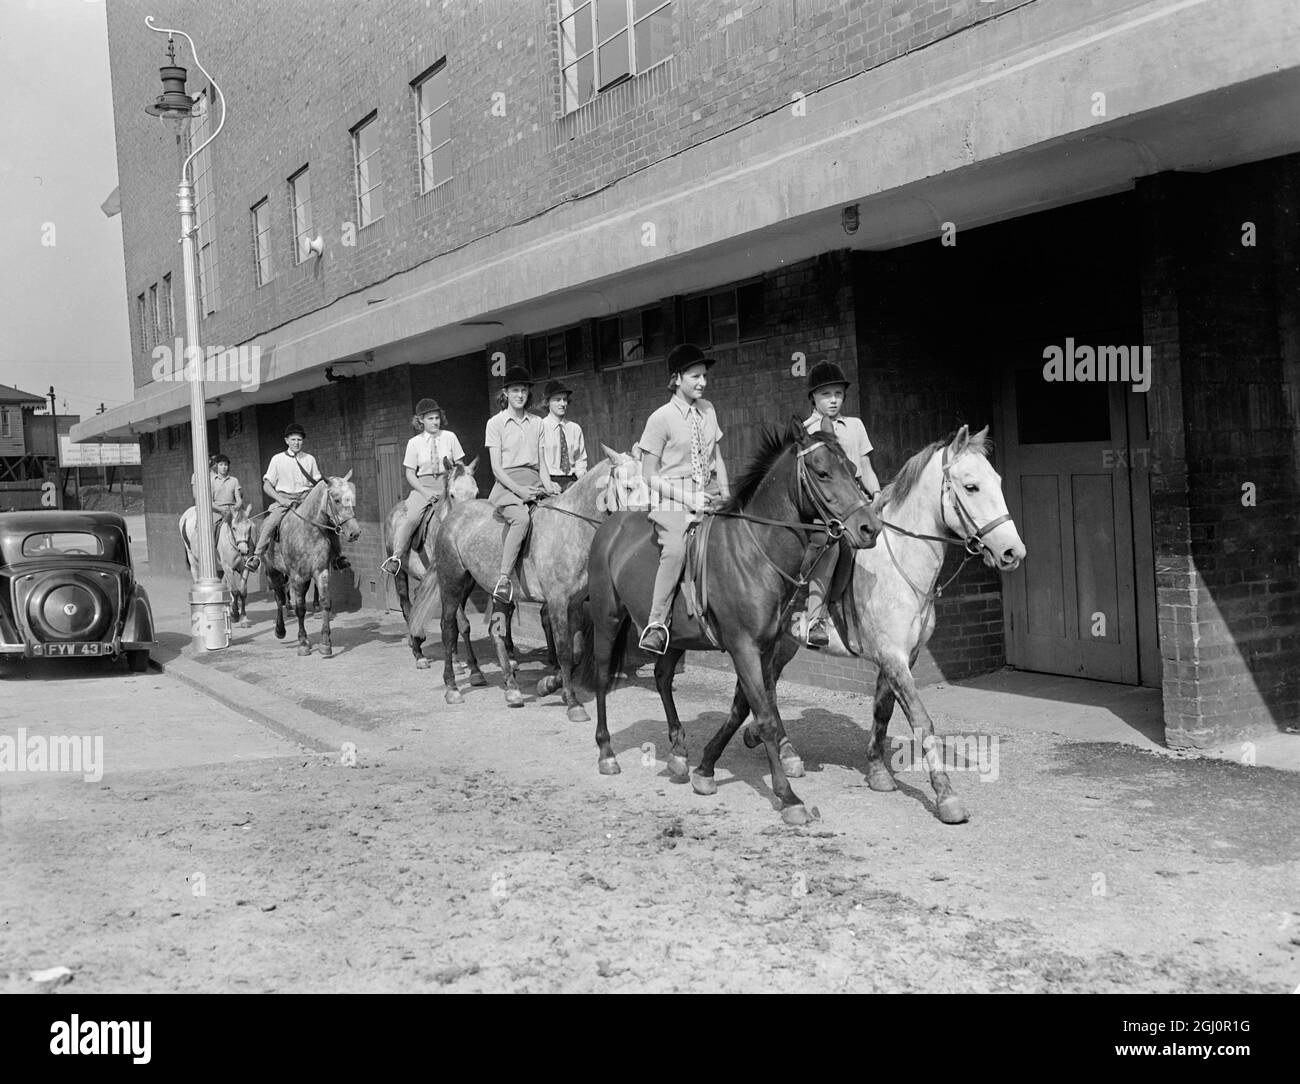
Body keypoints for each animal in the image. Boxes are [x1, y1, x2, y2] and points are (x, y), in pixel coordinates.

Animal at [261, 470, 361, 655]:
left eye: (351, 498)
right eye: (336, 499)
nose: (355, 532)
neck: (309, 530)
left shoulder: (321, 572)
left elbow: (325, 603)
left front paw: (325, 643)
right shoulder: (296, 576)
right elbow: (300, 608)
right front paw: (303, 643)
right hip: (273, 572)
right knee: (279, 598)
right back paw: (280, 630)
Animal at [434, 447, 642, 717]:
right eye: (627, 487)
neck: (571, 527)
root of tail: (453, 515)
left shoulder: (574, 603)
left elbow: (576, 650)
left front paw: (549, 686)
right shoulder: (557, 602)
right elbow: (564, 650)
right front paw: (573, 703)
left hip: (496, 590)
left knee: (495, 631)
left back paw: (512, 688)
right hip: (452, 583)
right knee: (449, 628)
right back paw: (453, 688)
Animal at [590, 418, 883, 821]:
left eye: (854, 471)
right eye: (822, 472)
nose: (870, 528)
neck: (755, 552)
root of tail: (611, 524)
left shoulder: (765, 646)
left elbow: (743, 708)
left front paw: (704, 769)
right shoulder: (743, 647)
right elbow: (765, 716)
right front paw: (787, 796)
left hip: (673, 636)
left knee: (663, 678)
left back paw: (678, 754)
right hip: (607, 617)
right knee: (603, 678)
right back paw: (606, 753)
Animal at [712, 421, 1024, 821]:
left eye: (997, 481)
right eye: (971, 486)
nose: (1013, 552)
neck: (902, 563)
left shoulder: (902, 657)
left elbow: (883, 710)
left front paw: (877, 771)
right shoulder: (893, 657)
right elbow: (921, 720)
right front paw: (946, 796)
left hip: (782, 643)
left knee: (766, 685)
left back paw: (775, 745)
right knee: (764, 686)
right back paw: (782, 751)